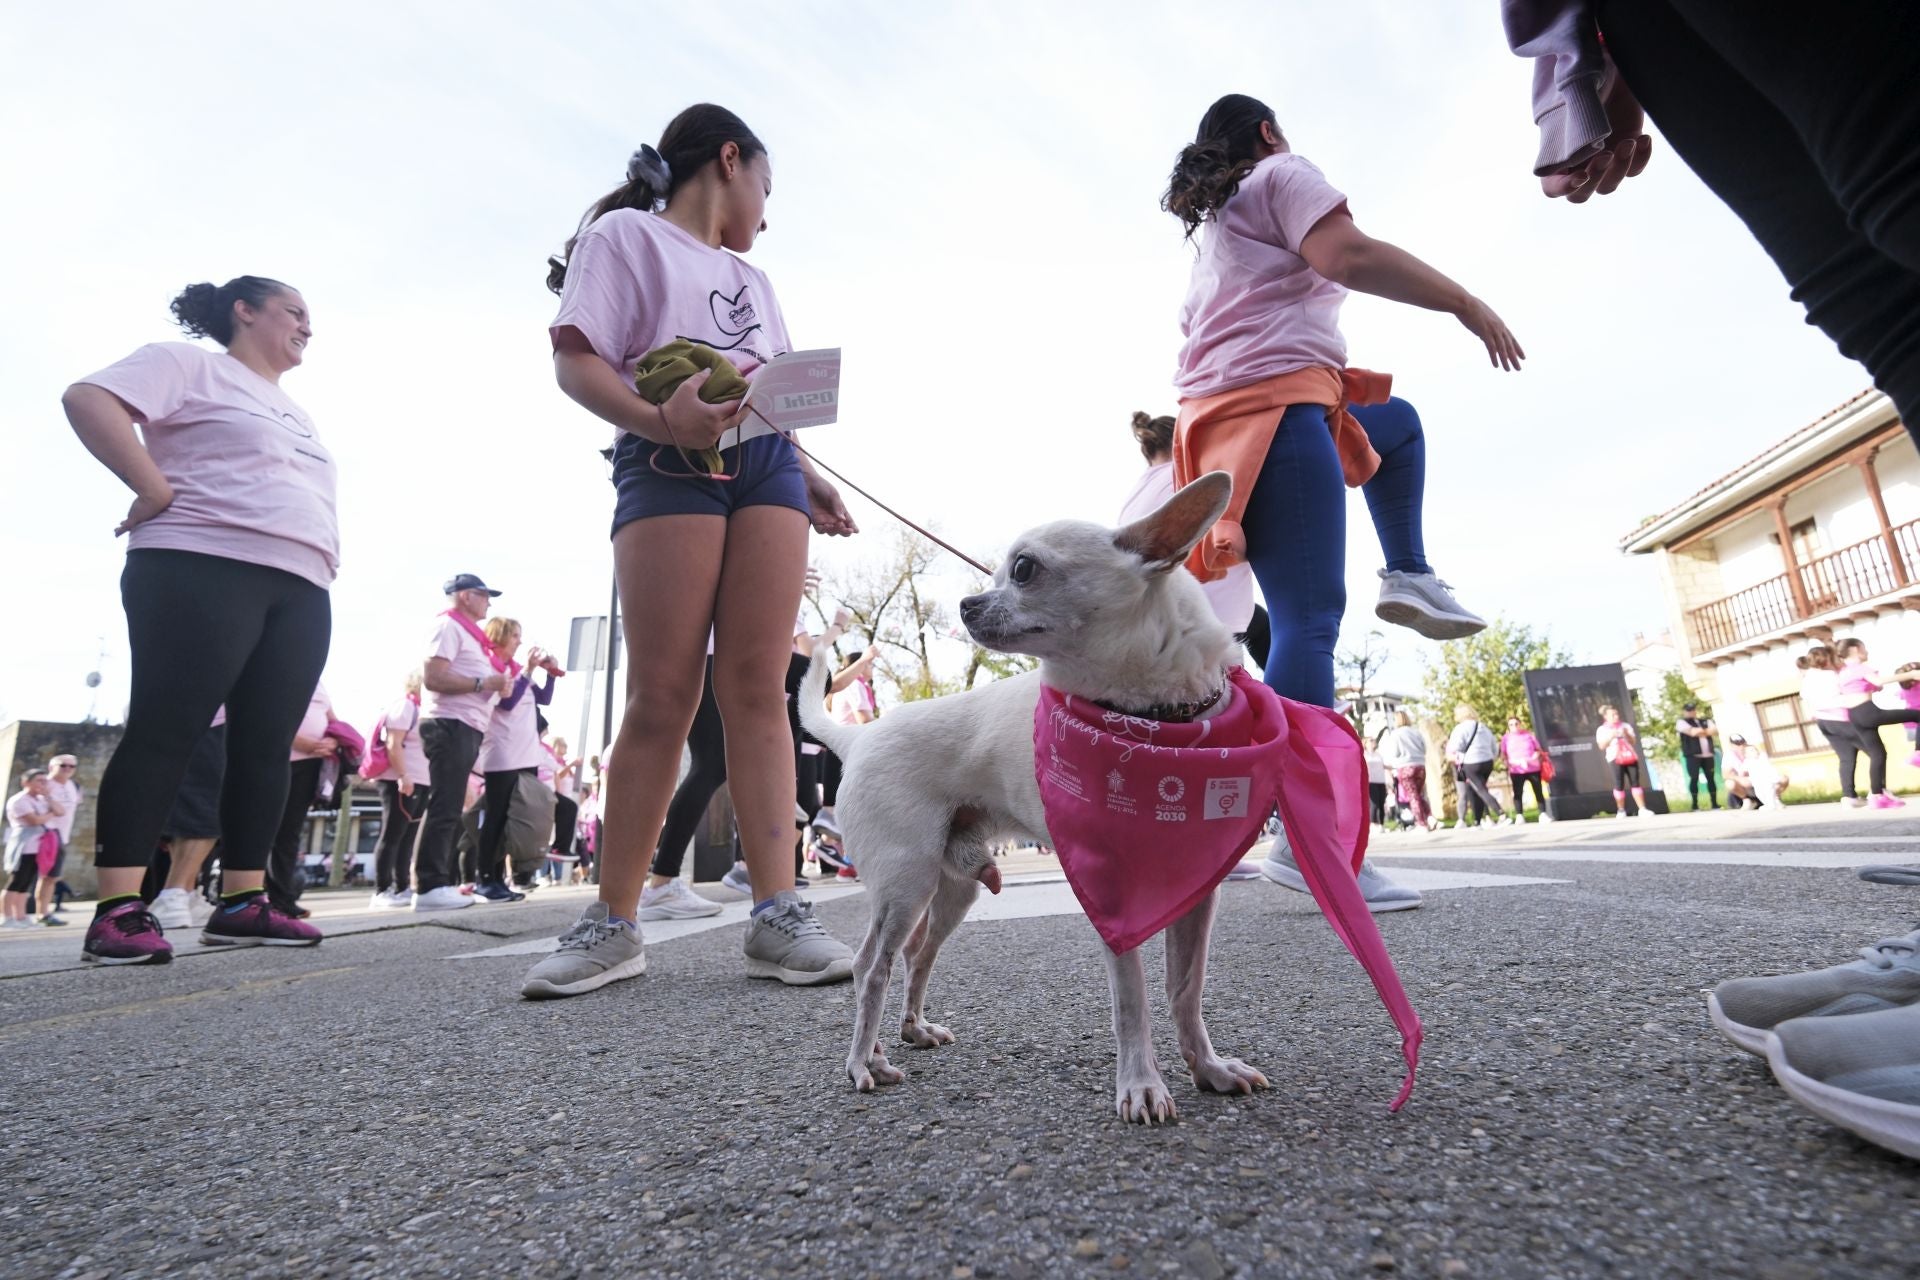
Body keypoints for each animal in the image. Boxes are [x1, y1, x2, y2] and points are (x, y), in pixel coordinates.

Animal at [791, 470, 1259, 1120]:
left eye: (1023, 569)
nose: (966, 604)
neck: (1156, 721)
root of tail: (857, 737)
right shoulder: (1113, 899)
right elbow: (1133, 999)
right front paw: (1142, 1085)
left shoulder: (1194, 895)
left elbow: (1185, 990)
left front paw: (1208, 1068)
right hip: (905, 881)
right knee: (870, 967)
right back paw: (863, 1061)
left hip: (952, 888)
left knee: (916, 955)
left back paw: (909, 1032)